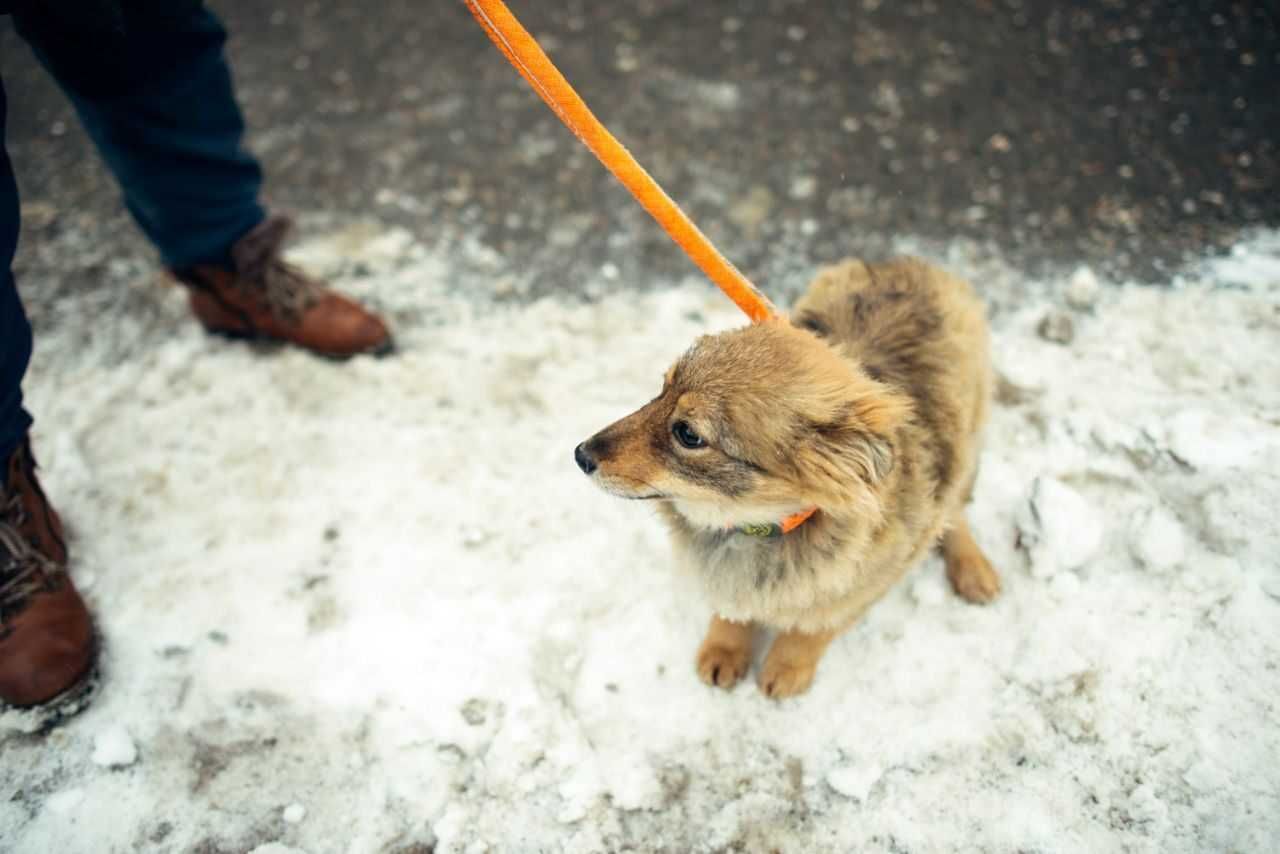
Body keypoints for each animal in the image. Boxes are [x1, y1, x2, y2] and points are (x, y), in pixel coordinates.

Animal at [573, 257, 998, 696]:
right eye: (661, 390)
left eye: (688, 434)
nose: (581, 454)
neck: (755, 523)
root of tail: (914, 261)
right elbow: (732, 612)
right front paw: (724, 651)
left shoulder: (866, 583)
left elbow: (811, 630)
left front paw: (785, 669)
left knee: (956, 511)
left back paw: (973, 570)